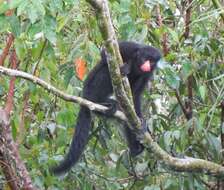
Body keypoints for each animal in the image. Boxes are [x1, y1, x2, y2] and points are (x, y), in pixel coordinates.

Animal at [51, 40, 162, 174]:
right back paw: (101, 101)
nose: (147, 65)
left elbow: (135, 96)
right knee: (106, 71)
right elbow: (105, 54)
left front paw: (142, 120)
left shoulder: (148, 74)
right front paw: (127, 66)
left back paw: (135, 148)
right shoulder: (129, 47)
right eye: (145, 58)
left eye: (152, 62)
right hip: (91, 88)